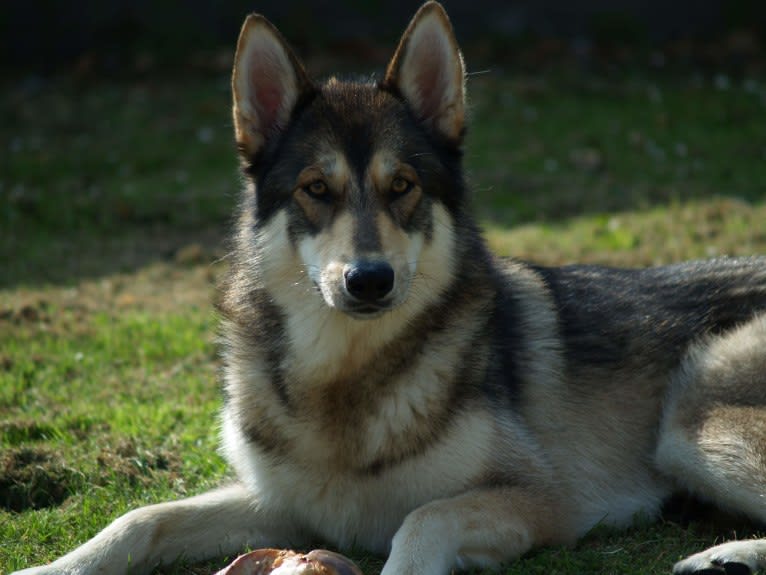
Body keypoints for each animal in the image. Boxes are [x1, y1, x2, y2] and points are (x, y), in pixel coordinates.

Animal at [16, 4, 766, 575]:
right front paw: (50, 569)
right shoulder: (280, 503)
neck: (345, 381)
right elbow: (140, 517)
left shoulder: (547, 501)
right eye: (317, 189)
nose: (368, 279)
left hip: (691, 429)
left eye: (401, 186)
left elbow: (422, 520)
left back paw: (724, 556)